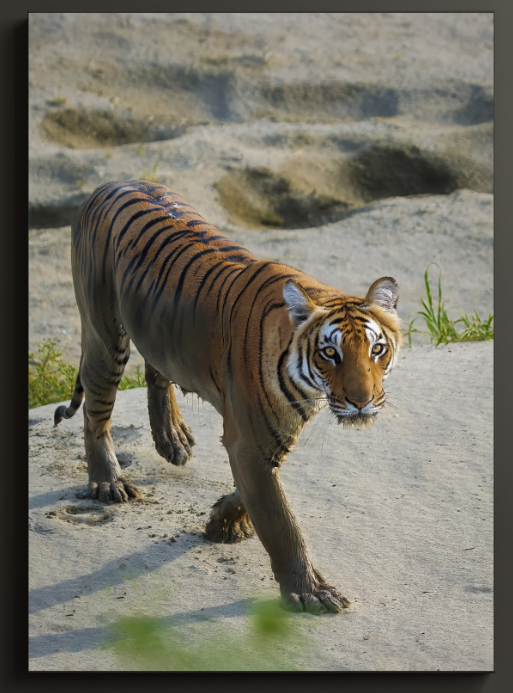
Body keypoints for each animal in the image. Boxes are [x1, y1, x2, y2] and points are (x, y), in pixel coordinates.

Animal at [54, 180, 402, 615]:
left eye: (377, 350)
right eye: (329, 353)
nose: (361, 401)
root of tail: (108, 184)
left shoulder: (270, 435)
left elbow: (256, 494)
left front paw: (222, 521)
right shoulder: (250, 441)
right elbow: (280, 520)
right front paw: (309, 591)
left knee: (156, 368)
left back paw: (172, 439)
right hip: (104, 336)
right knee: (96, 413)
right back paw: (108, 482)